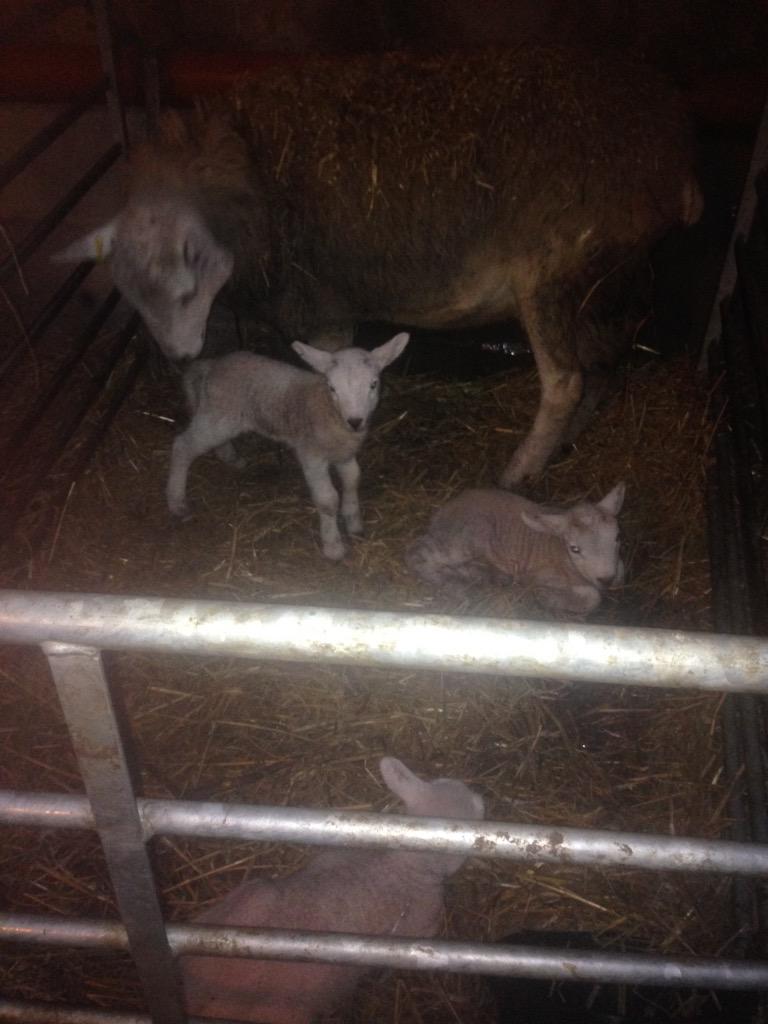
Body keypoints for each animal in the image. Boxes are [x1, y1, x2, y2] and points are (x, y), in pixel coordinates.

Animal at [56, 47, 701, 484]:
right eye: (131, 292)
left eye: (186, 284)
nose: (178, 356)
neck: (251, 172)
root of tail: (672, 147)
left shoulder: (322, 306)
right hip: (607, 276)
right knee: (606, 361)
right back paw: (572, 439)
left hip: (550, 268)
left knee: (565, 380)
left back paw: (519, 470)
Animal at [166, 332, 409, 559]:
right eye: (332, 388)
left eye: (373, 384)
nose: (355, 421)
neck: (330, 412)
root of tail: (212, 365)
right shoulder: (312, 455)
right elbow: (328, 500)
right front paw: (333, 547)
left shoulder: (344, 453)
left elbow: (353, 481)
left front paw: (354, 524)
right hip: (219, 414)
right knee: (183, 445)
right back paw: (177, 502)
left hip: (221, 417)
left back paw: (232, 458)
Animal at [407, 482, 625, 614]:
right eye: (575, 549)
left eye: (617, 537)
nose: (606, 579)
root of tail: (442, 511)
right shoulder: (540, 576)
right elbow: (592, 598)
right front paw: (546, 598)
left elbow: (620, 573)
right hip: (465, 537)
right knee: (417, 555)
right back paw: (455, 585)